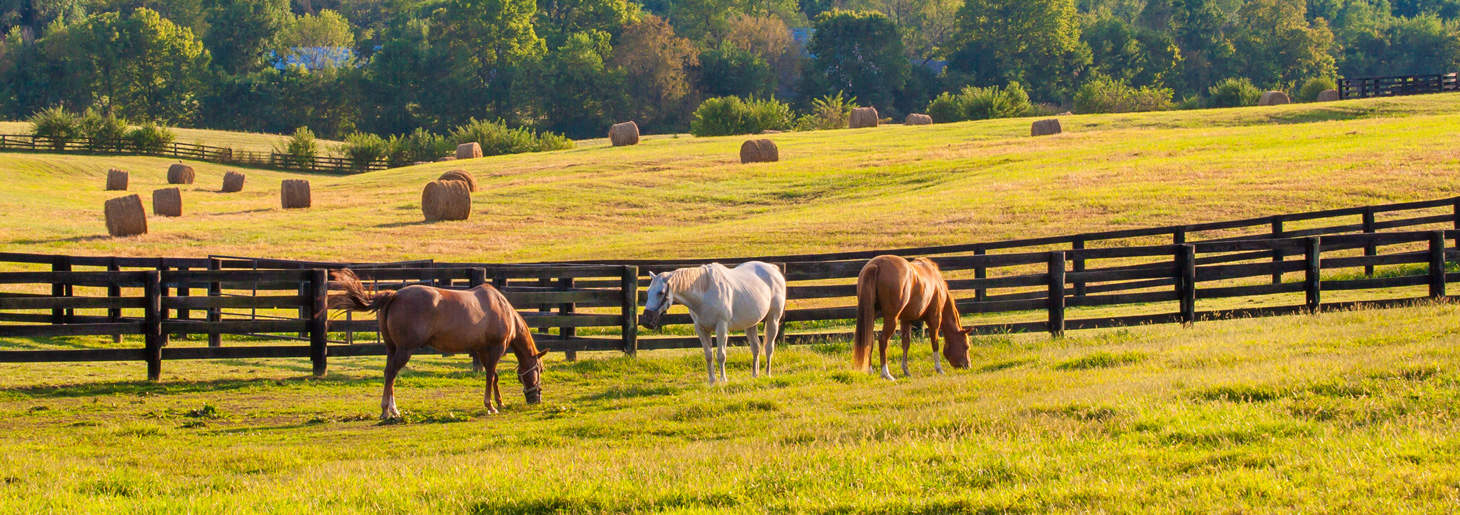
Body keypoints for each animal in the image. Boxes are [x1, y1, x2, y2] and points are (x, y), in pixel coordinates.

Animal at [329, 266, 548, 420]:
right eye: (540, 370)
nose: (536, 399)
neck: (502, 309)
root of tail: (395, 295)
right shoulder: (495, 349)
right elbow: (490, 376)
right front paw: (491, 405)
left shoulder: (482, 351)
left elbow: (493, 377)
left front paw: (499, 403)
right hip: (404, 350)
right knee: (391, 374)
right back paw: (386, 410)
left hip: (392, 349)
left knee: (388, 374)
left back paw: (394, 410)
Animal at [639, 262, 788, 382]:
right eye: (648, 291)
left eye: (660, 292)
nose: (646, 320)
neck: (705, 293)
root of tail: (773, 269)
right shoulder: (701, 329)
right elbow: (708, 355)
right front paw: (712, 380)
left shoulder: (721, 328)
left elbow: (721, 355)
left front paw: (723, 379)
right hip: (750, 324)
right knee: (756, 348)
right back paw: (754, 375)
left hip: (773, 319)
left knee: (768, 347)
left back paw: (767, 374)